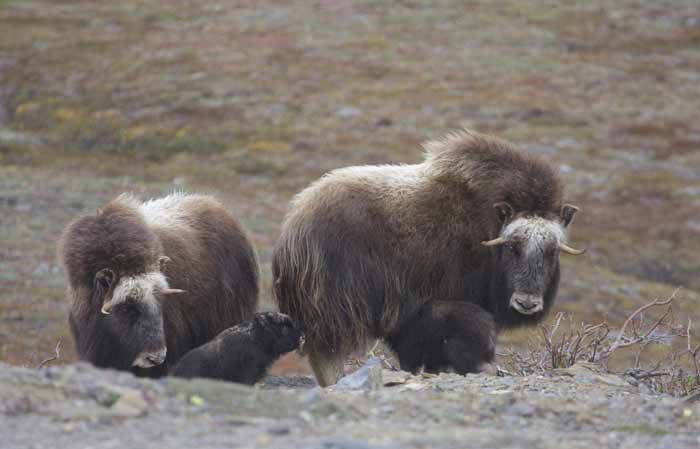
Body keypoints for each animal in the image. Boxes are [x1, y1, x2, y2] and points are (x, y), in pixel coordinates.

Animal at [274, 130, 584, 384]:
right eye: (512, 247)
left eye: (552, 250)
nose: (526, 303)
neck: (488, 228)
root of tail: (294, 224)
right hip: (336, 308)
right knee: (326, 352)